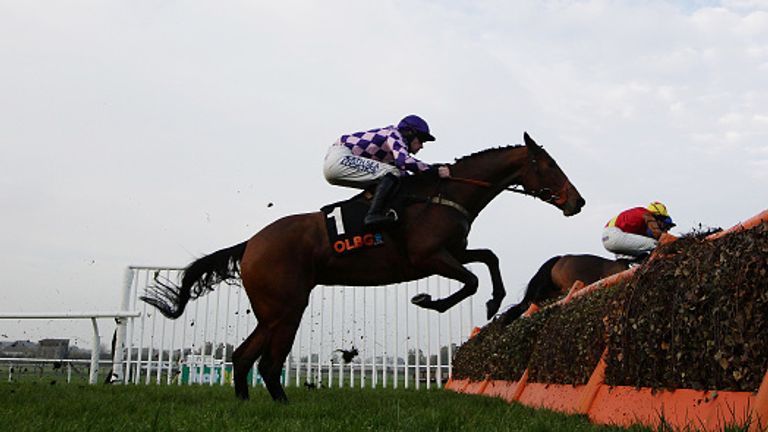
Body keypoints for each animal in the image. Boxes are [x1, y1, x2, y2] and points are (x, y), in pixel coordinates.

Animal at [141, 132, 584, 402]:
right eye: (550, 164)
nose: (577, 201)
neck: (442, 194)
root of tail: (251, 243)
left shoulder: (453, 251)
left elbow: (489, 259)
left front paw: (496, 304)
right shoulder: (428, 257)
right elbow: (471, 280)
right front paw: (429, 301)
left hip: (274, 311)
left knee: (244, 356)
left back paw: (250, 403)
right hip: (286, 307)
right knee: (266, 361)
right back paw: (281, 405)